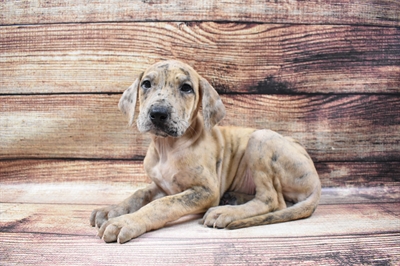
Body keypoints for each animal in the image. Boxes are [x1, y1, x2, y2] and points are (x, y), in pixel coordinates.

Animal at [90, 59, 322, 243]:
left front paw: (126, 222)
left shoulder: (205, 191)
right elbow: (139, 193)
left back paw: (226, 211)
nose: (158, 113)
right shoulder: (162, 185)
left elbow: (162, 205)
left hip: (261, 138)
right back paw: (232, 198)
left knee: (272, 200)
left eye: (186, 88)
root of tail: (316, 182)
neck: (167, 148)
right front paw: (111, 210)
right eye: (146, 84)